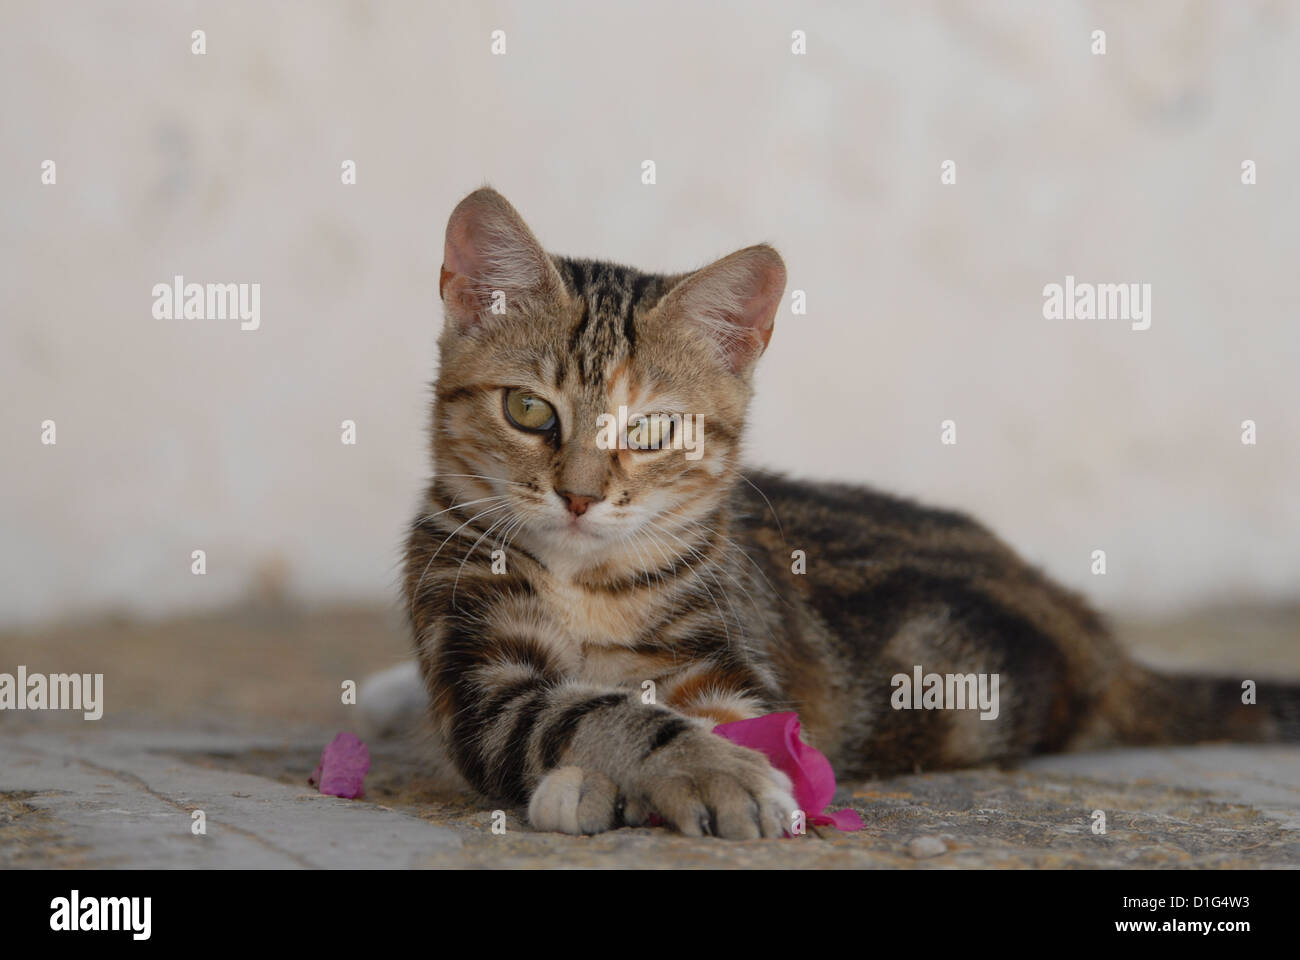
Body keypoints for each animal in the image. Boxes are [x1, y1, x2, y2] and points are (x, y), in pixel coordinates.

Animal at [397, 187, 1300, 837]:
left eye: (654, 430)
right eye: (528, 410)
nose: (580, 496)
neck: (589, 584)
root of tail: (1097, 637)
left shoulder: (727, 660)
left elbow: (726, 722)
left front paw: (714, 771)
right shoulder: (481, 673)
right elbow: (587, 709)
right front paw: (665, 770)